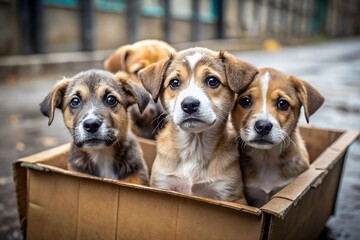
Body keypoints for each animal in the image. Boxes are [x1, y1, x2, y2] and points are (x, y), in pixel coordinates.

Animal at [139, 47, 258, 202]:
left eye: (212, 81)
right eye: (174, 82)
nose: (189, 104)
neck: (194, 147)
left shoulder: (230, 193)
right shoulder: (162, 183)